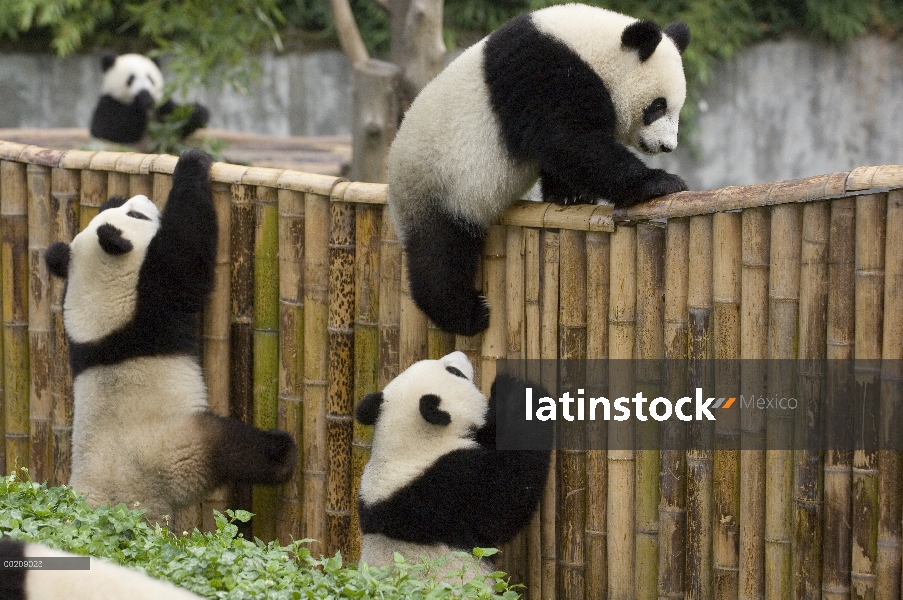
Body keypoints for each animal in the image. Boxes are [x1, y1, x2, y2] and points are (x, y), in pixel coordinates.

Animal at [44, 149, 296, 520]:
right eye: (135, 214)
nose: (141, 198)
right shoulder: (154, 298)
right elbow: (189, 253)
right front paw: (192, 161)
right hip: (178, 448)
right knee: (236, 448)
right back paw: (281, 454)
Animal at [388, 2, 692, 336]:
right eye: (658, 106)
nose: (667, 146)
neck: (589, 46)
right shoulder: (544, 71)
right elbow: (571, 140)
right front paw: (659, 182)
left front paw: (570, 196)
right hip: (437, 184)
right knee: (441, 255)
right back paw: (466, 314)